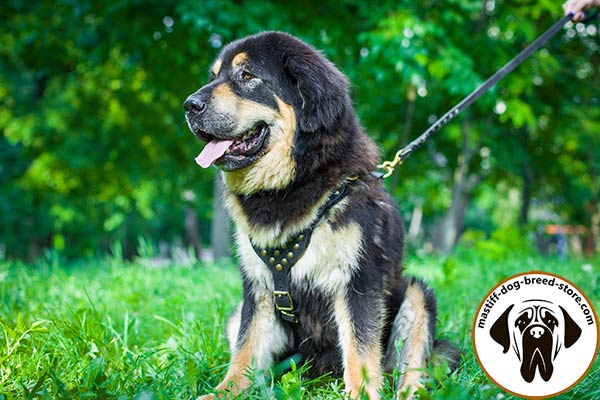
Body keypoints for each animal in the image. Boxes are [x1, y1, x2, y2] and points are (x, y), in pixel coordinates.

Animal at [183, 29, 460, 398]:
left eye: (246, 76)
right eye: (214, 77)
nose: (189, 105)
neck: (292, 183)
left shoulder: (357, 281)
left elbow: (360, 351)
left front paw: (361, 394)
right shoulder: (257, 289)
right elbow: (245, 348)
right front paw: (224, 391)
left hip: (417, 295)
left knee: (412, 368)